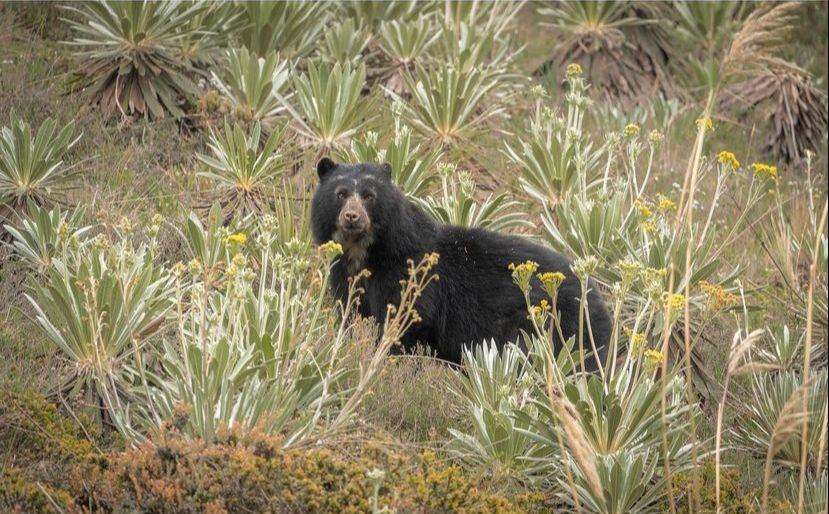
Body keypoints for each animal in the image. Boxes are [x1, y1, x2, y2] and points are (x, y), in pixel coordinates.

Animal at [308, 158, 612, 366]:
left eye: (369, 195)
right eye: (341, 193)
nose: (352, 217)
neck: (366, 253)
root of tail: (598, 300)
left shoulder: (408, 274)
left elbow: (405, 321)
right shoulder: (346, 277)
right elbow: (352, 313)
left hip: (556, 330)